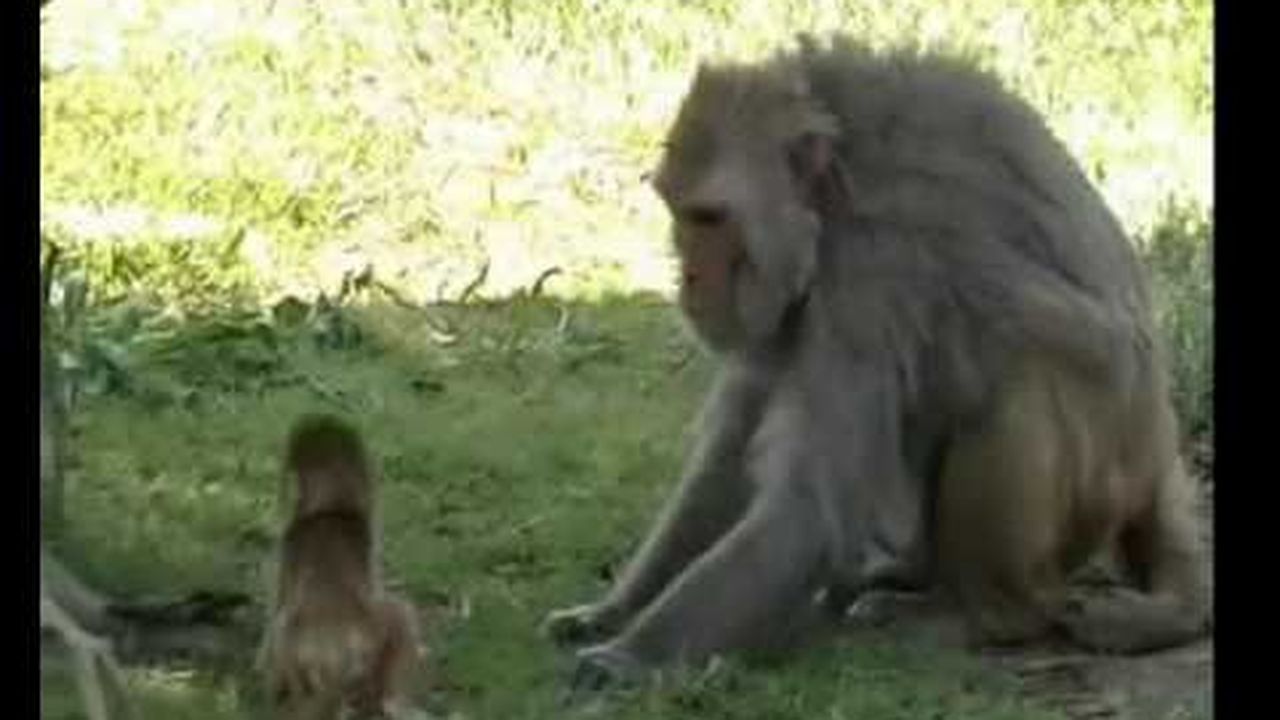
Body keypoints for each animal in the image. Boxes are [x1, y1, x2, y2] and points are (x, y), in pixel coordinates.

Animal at [544, 35, 1210, 686]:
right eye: (678, 212)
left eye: (710, 217)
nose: (687, 277)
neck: (835, 190)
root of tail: (1160, 448)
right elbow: (731, 453)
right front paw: (613, 611)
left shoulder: (873, 270)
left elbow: (809, 504)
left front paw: (631, 655)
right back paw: (913, 575)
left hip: (1102, 477)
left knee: (1017, 375)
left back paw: (993, 615)